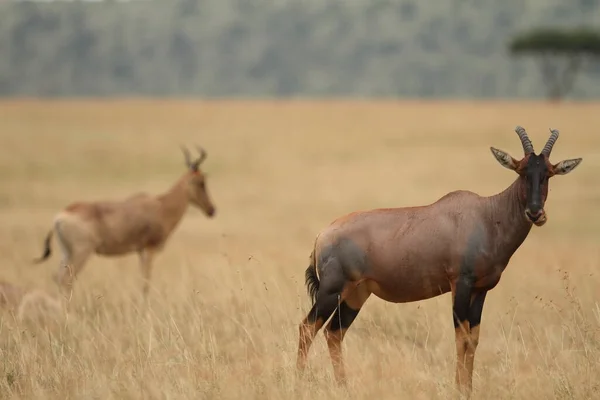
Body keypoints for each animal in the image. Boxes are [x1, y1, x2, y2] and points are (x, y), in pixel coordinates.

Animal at [33, 146, 216, 300]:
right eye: (201, 182)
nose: (212, 210)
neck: (160, 205)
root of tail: (61, 216)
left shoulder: (140, 250)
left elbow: (143, 279)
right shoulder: (149, 249)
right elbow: (146, 280)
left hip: (66, 252)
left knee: (57, 277)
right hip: (81, 252)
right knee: (66, 279)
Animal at [298, 126, 584, 396]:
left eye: (548, 173)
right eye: (522, 171)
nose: (536, 213)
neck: (487, 216)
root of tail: (322, 235)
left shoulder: (481, 290)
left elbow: (473, 339)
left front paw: (469, 389)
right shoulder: (460, 284)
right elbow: (461, 338)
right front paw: (460, 390)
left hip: (357, 294)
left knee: (334, 333)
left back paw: (343, 387)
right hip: (331, 291)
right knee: (307, 329)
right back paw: (300, 381)